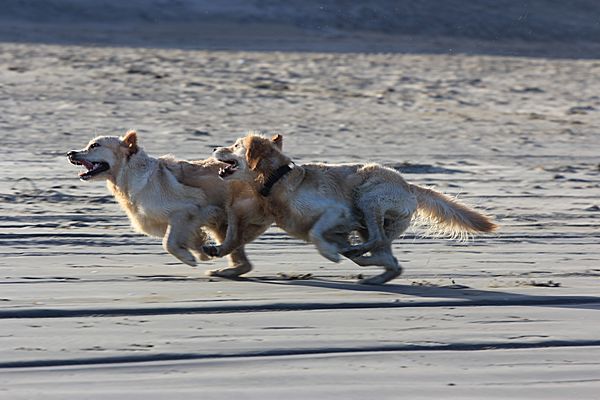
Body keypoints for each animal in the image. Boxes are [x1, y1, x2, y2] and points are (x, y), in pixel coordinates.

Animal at [67, 130, 272, 278]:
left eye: (95, 145)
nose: (70, 153)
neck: (129, 173)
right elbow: (190, 240)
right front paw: (201, 252)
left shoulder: (187, 211)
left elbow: (168, 243)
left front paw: (189, 258)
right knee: (244, 262)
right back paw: (225, 270)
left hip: (231, 215)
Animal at [209, 133, 497, 284]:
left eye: (235, 145)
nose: (213, 147)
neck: (277, 179)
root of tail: (409, 185)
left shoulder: (337, 213)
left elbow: (316, 233)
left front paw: (331, 255)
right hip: (371, 224)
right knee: (390, 260)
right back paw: (370, 273)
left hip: (368, 197)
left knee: (377, 240)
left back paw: (356, 256)